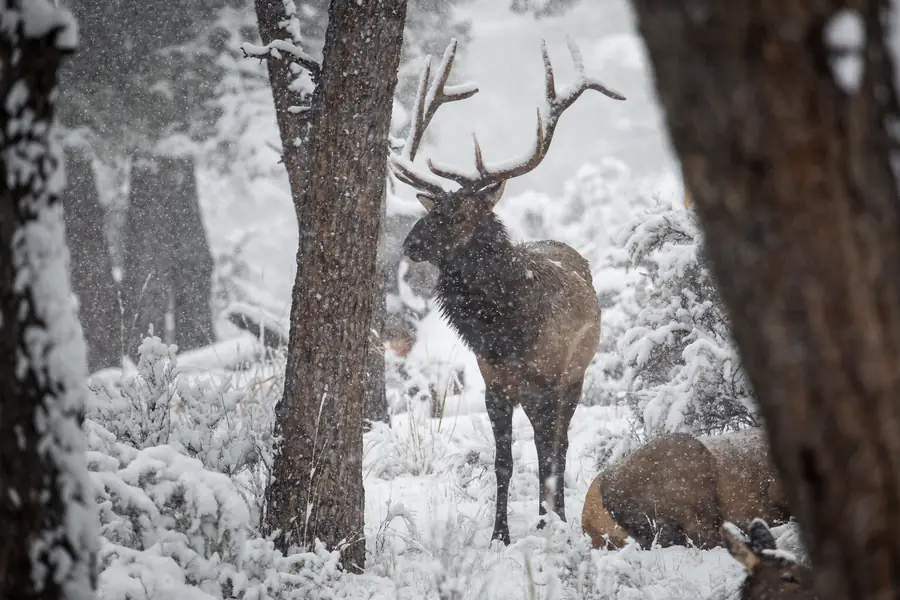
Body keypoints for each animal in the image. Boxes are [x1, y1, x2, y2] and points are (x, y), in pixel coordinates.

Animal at [388, 38, 624, 545]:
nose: (410, 244)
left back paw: (553, 514)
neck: (506, 331)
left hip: (575, 378)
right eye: (433, 208)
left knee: (560, 443)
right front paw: (501, 535)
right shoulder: (494, 383)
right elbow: (504, 461)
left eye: (459, 214)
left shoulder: (548, 380)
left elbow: (548, 453)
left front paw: (550, 523)